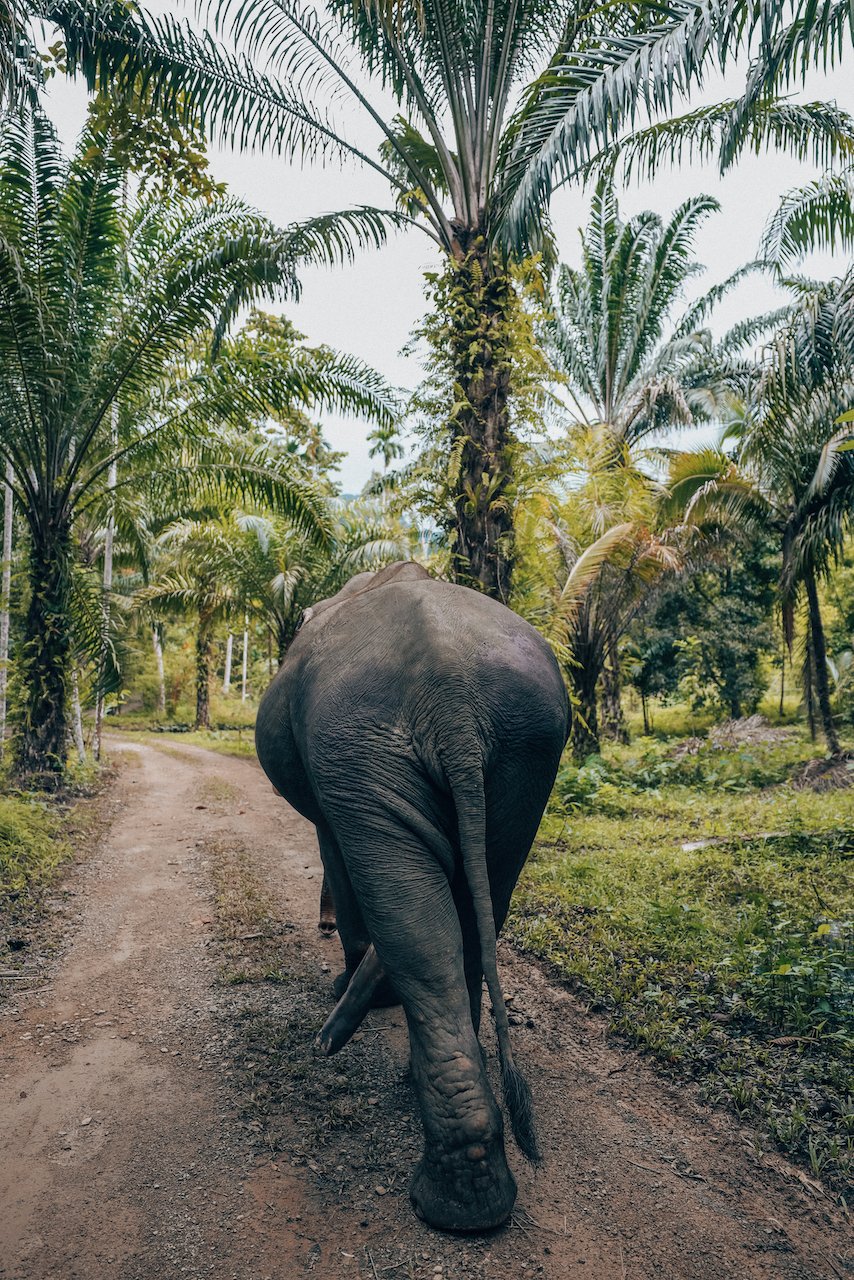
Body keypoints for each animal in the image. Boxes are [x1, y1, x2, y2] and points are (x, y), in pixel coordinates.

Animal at [257, 563, 571, 1228]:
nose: (324, 1043)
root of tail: (450, 688)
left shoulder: (333, 780)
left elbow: (335, 852)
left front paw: (346, 990)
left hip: (356, 746)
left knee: (416, 931)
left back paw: (455, 1198)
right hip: (522, 753)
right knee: (477, 912)